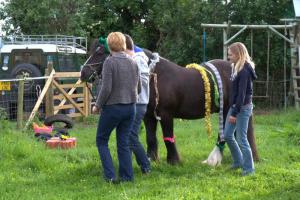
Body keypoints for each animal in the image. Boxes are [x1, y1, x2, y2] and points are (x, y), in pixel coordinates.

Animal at [81, 40, 258, 166]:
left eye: (101, 52)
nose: (83, 73)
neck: (154, 75)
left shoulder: (166, 115)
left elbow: (168, 137)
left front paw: (173, 161)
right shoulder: (148, 117)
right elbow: (151, 138)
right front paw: (152, 159)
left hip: (228, 109)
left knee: (227, 135)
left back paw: (216, 159)